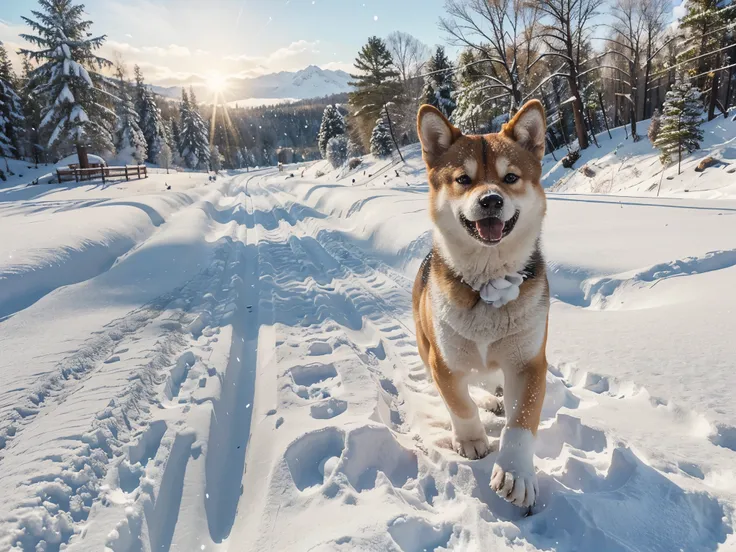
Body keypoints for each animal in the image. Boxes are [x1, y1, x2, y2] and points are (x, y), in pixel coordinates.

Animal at [412, 100, 548, 508]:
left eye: (510, 177)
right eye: (463, 180)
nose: (490, 200)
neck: (487, 286)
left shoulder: (529, 362)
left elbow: (522, 420)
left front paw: (516, 473)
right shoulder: (444, 361)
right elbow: (460, 404)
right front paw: (472, 440)